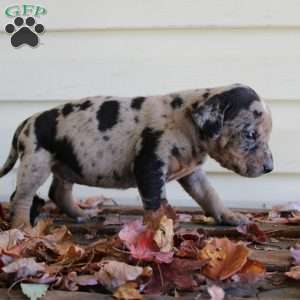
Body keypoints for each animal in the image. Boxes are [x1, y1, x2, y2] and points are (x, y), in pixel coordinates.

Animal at [0, 83, 274, 229]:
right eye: (250, 134)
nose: (270, 168)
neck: (186, 121)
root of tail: (28, 120)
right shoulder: (150, 165)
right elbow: (157, 204)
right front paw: (158, 233)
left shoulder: (193, 174)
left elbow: (210, 195)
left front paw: (229, 216)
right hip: (36, 162)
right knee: (21, 197)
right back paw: (22, 226)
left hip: (66, 162)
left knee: (58, 192)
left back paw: (80, 214)